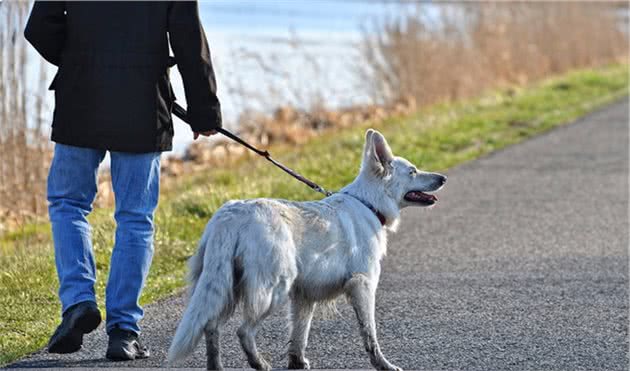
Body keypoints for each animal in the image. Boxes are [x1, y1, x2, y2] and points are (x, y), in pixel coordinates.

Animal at [167, 129, 444, 370]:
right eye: (413, 171)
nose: (443, 178)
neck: (368, 203)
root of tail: (231, 215)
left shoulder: (304, 297)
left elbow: (299, 336)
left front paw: (297, 363)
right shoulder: (362, 285)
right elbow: (370, 335)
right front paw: (384, 365)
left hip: (225, 287)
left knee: (210, 326)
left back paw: (217, 366)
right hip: (273, 289)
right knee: (243, 331)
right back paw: (260, 364)